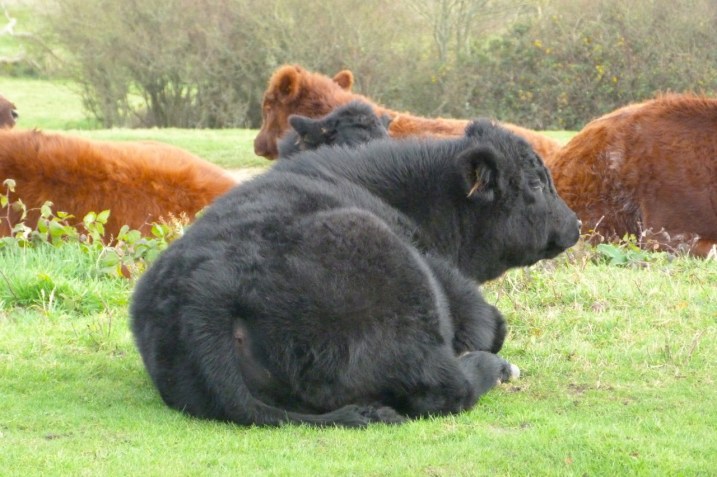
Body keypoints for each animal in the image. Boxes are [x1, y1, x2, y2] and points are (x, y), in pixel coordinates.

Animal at [130, 120, 581, 428]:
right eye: (536, 184)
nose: (576, 224)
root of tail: (206, 288)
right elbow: (492, 324)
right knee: (445, 385)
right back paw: (495, 369)